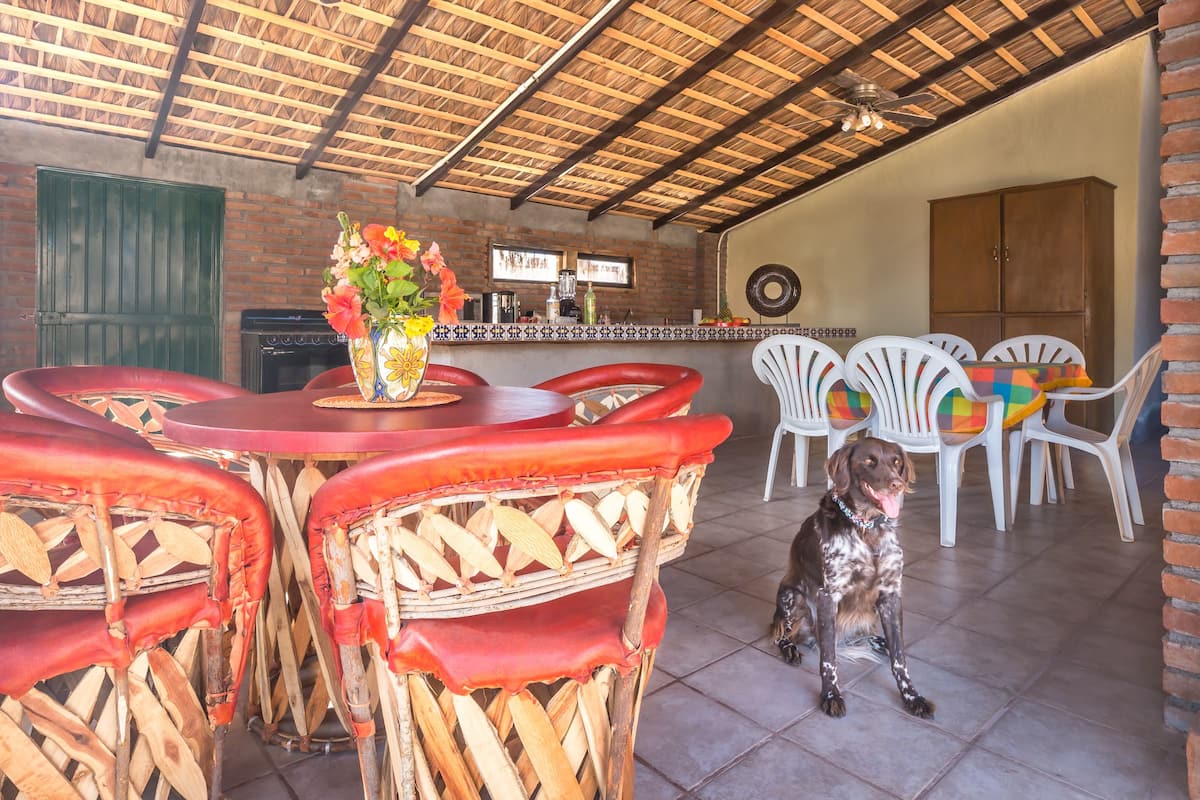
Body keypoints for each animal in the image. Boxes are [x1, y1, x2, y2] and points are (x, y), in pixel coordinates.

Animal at [772, 438, 931, 719]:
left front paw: (912, 696)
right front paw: (831, 696)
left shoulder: (890, 595)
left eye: (896, 462)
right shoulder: (828, 596)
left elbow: (900, 658)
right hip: (793, 596)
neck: (866, 528)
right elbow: (828, 660)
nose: (897, 484)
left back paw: (879, 642)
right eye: (869, 461)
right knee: (784, 633)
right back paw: (790, 649)